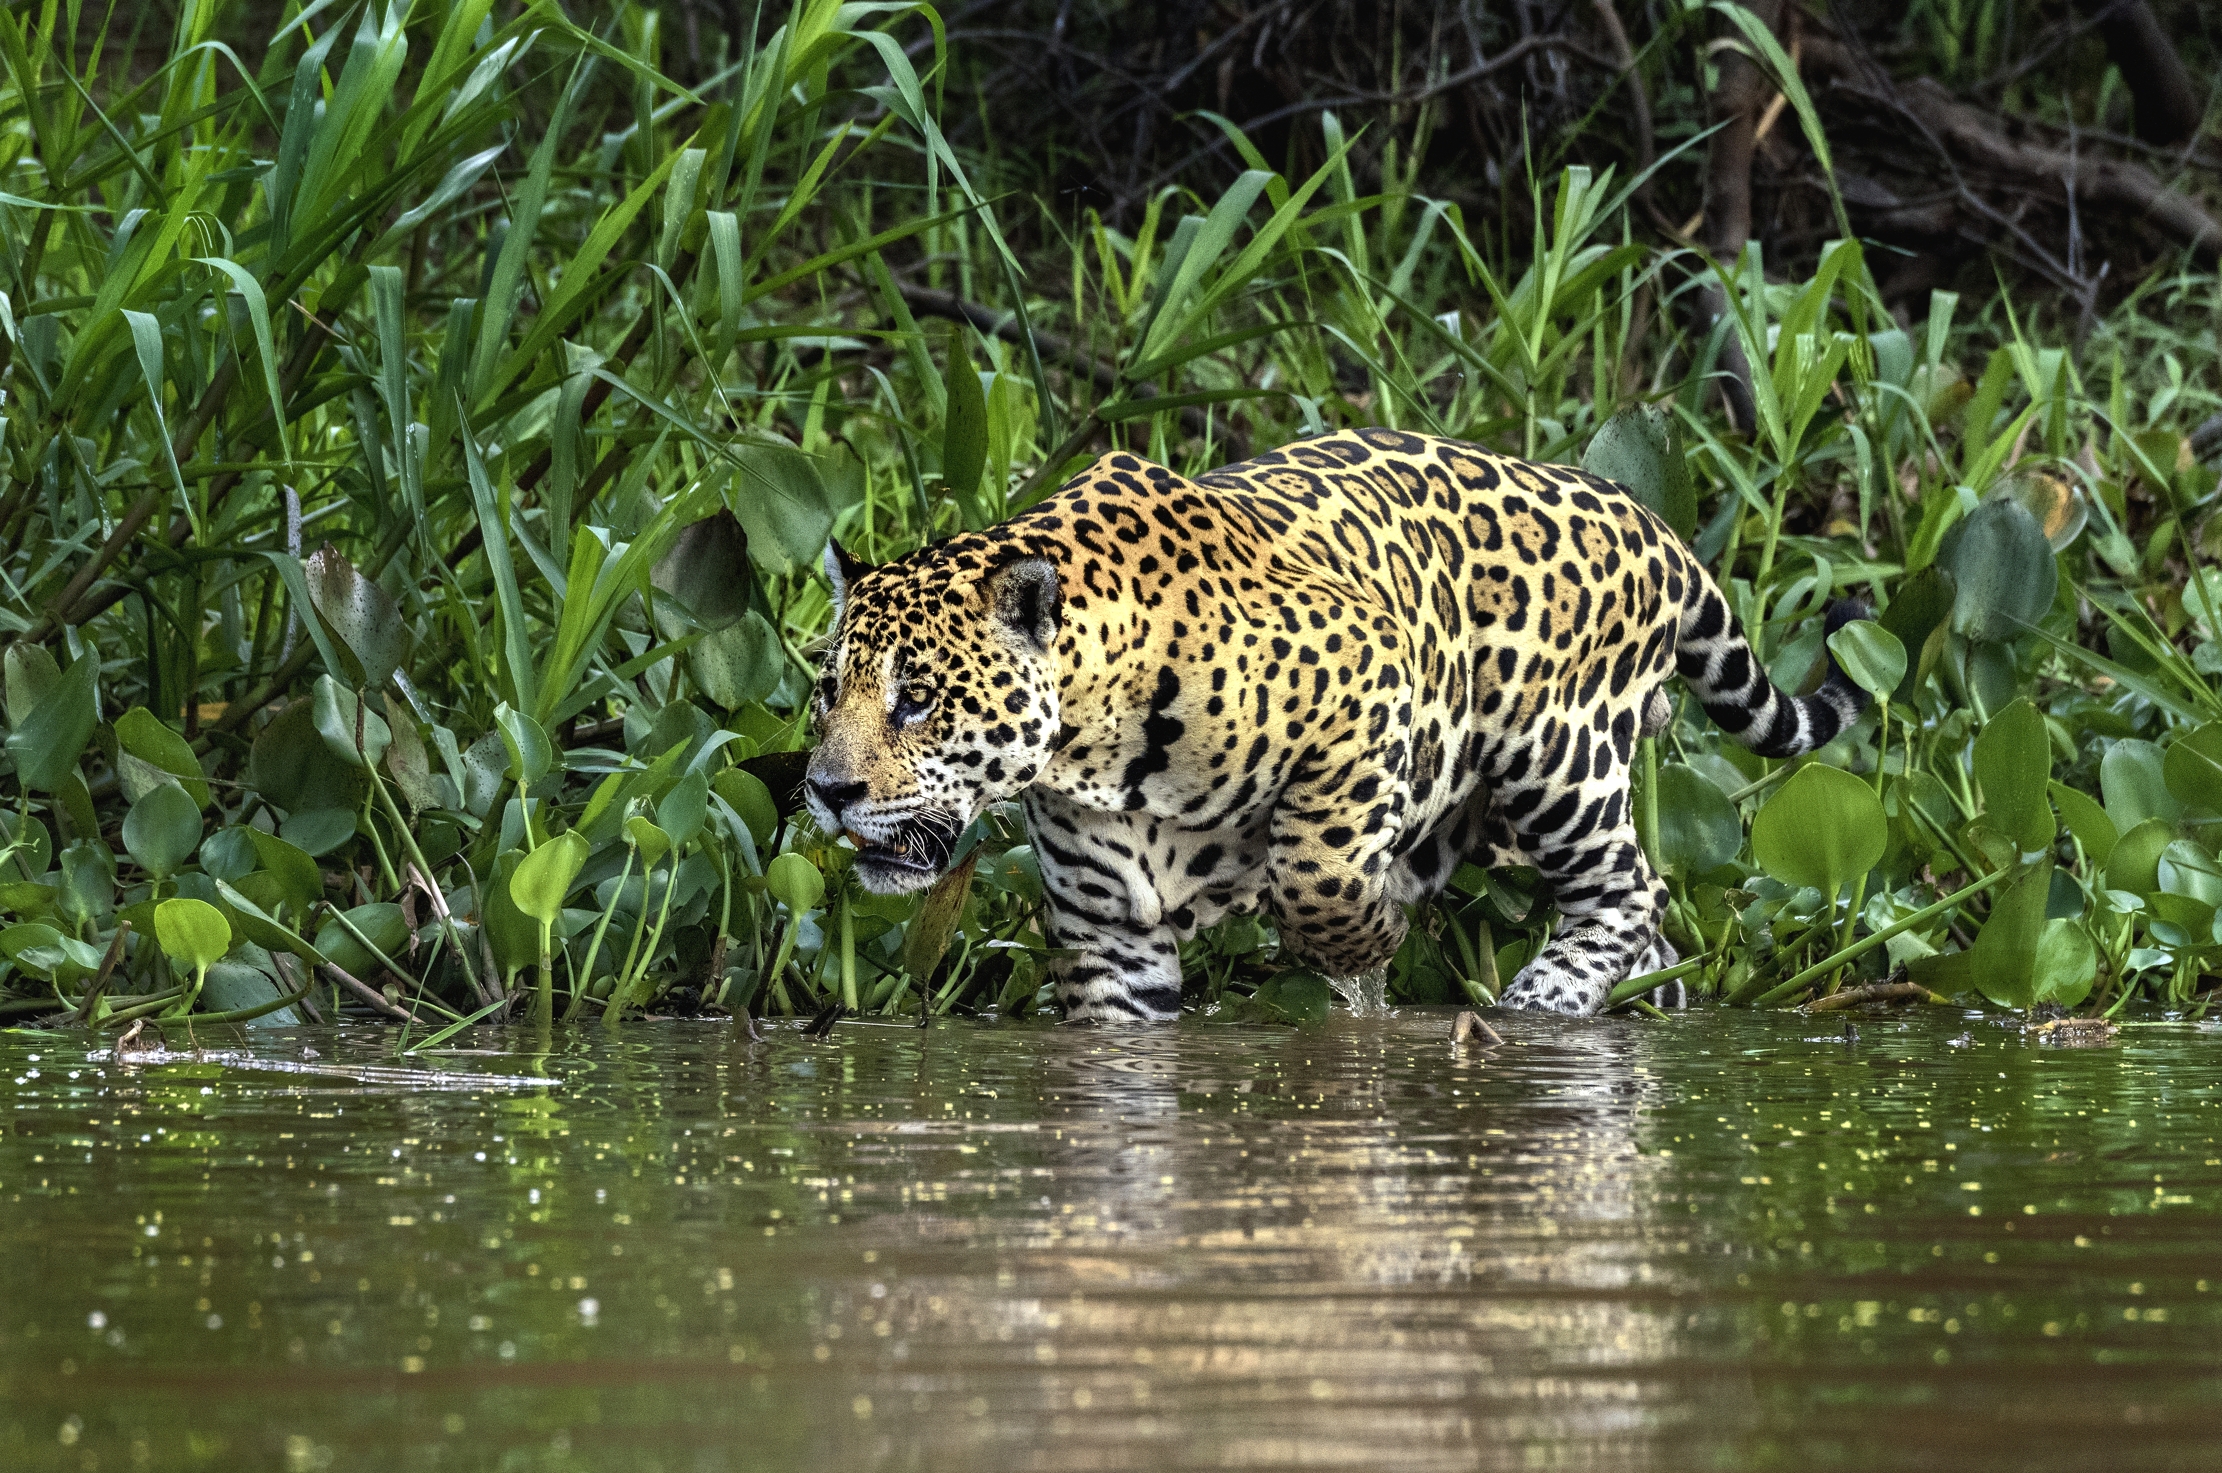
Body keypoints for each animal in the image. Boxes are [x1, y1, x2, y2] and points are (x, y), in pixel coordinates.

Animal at [803, 427, 1868, 1021]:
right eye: (828, 691)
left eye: (917, 696)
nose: (824, 790)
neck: (1092, 744)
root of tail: (1644, 511)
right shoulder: (1111, 939)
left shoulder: (1371, 682)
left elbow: (1317, 874)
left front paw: (1368, 937)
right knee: (1656, 942)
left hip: (1558, 759)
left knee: (1632, 889)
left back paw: (1541, 1005)